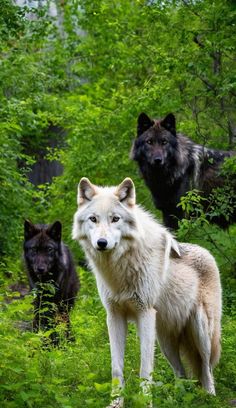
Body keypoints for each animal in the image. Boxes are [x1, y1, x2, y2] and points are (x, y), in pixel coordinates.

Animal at [72, 177, 221, 406]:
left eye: (115, 219)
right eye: (93, 219)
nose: (102, 243)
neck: (120, 269)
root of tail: (208, 254)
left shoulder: (145, 313)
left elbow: (145, 369)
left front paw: (145, 403)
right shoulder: (114, 316)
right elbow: (116, 368)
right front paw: (116, 403)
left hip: (201, 330)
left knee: (206, 368)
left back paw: (209, 397)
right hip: (165, 340)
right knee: (181, 372)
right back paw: (178, 398)